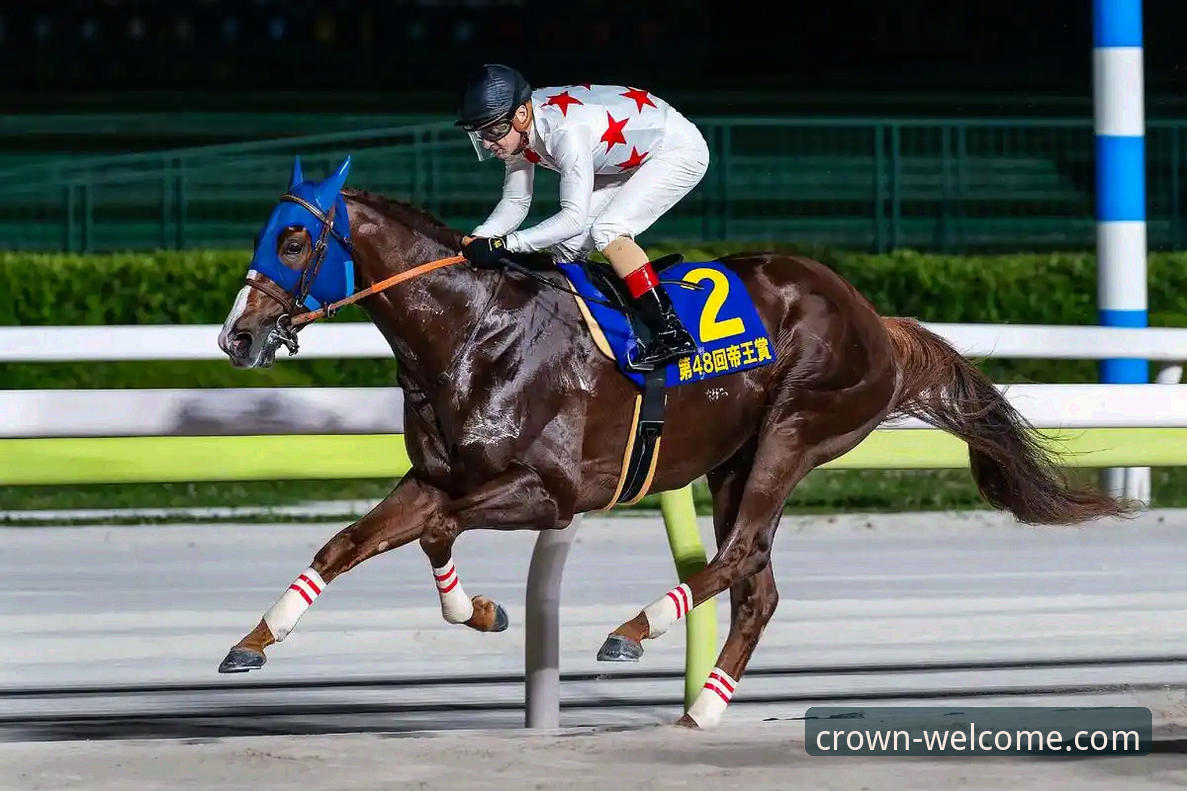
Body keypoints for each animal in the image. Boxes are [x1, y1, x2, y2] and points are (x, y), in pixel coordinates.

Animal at [215, 156, 1132, 729]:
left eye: (293, 239)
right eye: (264, 233)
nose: (236, 336)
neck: (472, 331)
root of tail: (876, 318)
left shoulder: (552, 490)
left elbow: (436, 527)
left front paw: (478, 608)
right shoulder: (436, 472)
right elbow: (350, 541)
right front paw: (253, 642)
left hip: (794, 432)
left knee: (736, 560)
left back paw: (638, 627)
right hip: (733, 460)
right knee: (757, 586)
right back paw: (702, 705)